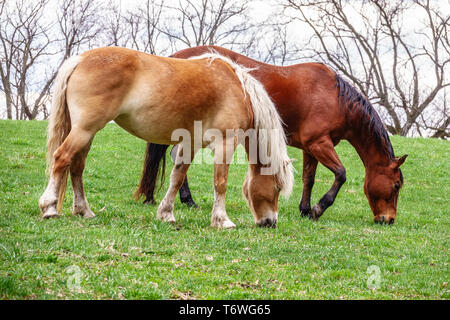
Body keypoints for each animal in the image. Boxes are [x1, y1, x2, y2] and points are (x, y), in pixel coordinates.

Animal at [38, 46, 294, 229]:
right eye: (277, 187)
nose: (270, 223)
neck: (237, 89)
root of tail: (80, 59)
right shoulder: (225, 144)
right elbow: (220, 183)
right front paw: (222, 220)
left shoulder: (190, 144)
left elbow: (177, 177)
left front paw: (166, 214)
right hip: (84, 130)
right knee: (62, 158)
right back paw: (49, 207)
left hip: (86, 133)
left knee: (77, 167)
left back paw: (84, 210)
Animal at [137, 45, 408, 225]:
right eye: (396, 185)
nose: (388, 219)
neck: (335, 98)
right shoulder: (320, 144)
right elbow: (340, 174)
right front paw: (319, 208)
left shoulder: (312, 148)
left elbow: (309, 179)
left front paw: (305, 209)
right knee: (178, 158)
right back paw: (187, 200)